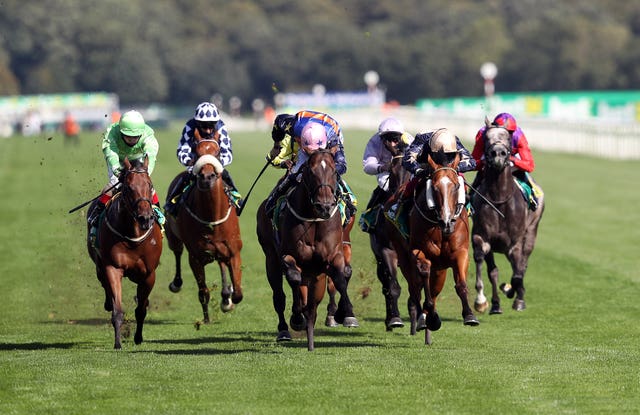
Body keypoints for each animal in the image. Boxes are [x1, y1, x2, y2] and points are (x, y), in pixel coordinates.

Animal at [86, 158, 162, 350]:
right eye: (128, 188)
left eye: (150, 185)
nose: (145, 218)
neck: (133, 238)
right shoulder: (112, 267)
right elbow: (118, 310)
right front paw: (118, 342)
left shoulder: (149, 274)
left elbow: (141, 310)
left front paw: (138, 338)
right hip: (100, 265)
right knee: (103, 283)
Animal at [164, 135, 244, 324]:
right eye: (197, 151)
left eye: (217, 152)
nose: (207, 177)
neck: (211, 217)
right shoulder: (195, 257)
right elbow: (203, 291)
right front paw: (207, 319)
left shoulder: (233, 250)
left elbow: (238, 293)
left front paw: (228, 298)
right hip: (173, 237)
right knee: (177, 252)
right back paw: (176, 283)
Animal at [256, 150, 358, 352]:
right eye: (310, 172)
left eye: (334, 171)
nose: (325, 206)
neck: (313, 220)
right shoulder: (288, 255)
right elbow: (294, 279)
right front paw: (297, 318)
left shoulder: (334, 254)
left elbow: (341, 279)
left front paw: (346, 314)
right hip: (271, 258)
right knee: (280, 295)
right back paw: (285, 329)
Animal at [382, 154, 478, 346]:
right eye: (434, 187)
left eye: (456, 186)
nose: (447, 221)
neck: (441, 228)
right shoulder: (418, 253)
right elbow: (423, 276)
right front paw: (430, 317)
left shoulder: (460, 253)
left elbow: (461, 284)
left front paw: (469, 315)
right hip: (403, 256)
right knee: (414, 289)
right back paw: (422, 318)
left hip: (440, 270)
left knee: (431, 290)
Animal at [470, 122, 544, 314]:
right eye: (486, 138)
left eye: (508, 138)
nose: (497, 153)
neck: (499, 199)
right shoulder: (481, 237)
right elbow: (485, 264)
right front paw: (482, 301)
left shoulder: (515, 244)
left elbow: (517, 275)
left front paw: (513, 294)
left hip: (531, 231)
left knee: (522, 265)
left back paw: (517, 295)